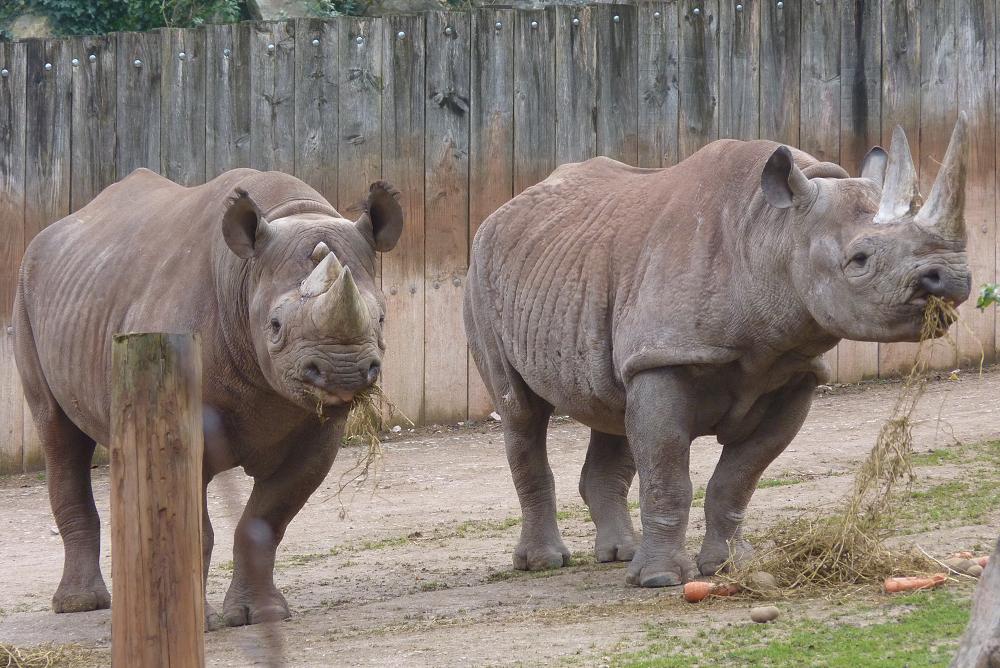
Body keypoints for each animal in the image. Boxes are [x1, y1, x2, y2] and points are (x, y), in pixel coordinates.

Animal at [13, 168, 402, 625]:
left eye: (381, 319)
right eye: (274, 326)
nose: (343, 372)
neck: (245, 276)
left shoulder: (316, 428)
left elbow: (267, 519)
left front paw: (262, 615)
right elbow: (195, 525)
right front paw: (192, 621)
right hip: (25, 293)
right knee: (58, 436)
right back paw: (79, 605)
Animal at [464, 114, 971, 587]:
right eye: (859, 260)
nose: (952, 279)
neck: (776, 231)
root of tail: (502, 209)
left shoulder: (794, 371)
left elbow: (738, 479)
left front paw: (729, 566)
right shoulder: (668, 356)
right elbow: (668, 474)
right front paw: (661, 580)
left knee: (613, 403)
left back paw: (620, 555)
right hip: (481, 272)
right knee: (521, 411)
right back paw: (545, 563)